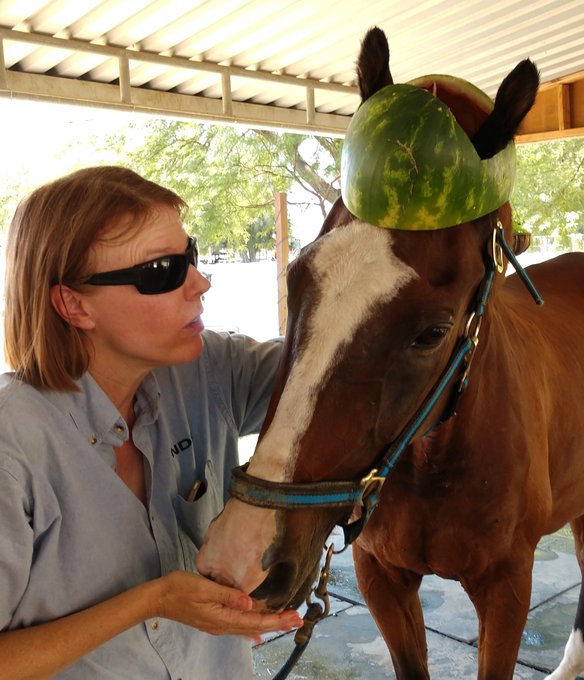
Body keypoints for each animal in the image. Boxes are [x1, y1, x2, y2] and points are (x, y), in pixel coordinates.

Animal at [197, 28, 584, 680]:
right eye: (296, 279)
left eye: (432, 332)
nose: (240, 557)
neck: (435, 457)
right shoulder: (381, 577)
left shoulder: (508, 590)